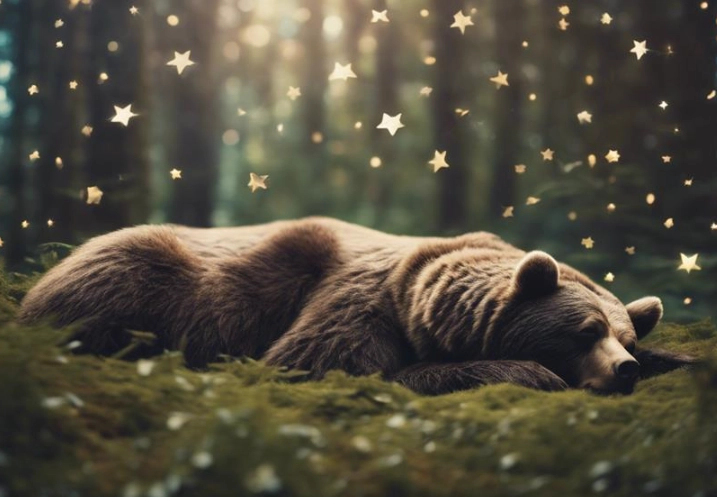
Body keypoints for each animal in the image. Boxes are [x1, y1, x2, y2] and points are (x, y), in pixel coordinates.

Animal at [18, 217, 696, 395]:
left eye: (625, 338)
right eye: (582, 330)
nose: (625, 368)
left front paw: (680, 361)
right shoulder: (357, 300)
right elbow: (324, 363)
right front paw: (532, 372)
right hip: (142, 274)